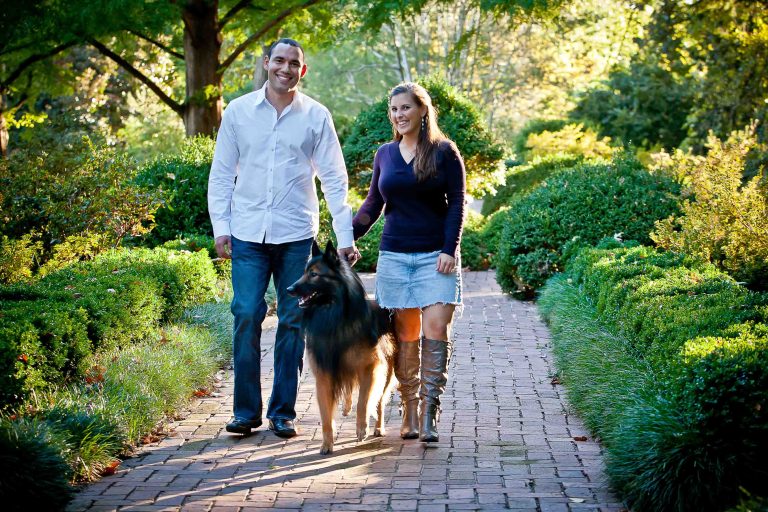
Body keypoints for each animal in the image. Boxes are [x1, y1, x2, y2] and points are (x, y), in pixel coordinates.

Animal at [288, 242, 396, 454]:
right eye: (304, 272)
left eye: (314, 274)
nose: (289, 289)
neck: (333, 316)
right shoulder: (324, 374)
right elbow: (326, 416)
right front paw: (326, 443)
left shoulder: (369, 367)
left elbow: (364, 401)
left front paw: (362, 428)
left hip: (386, 371)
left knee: (379, 401)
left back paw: (378, 427)